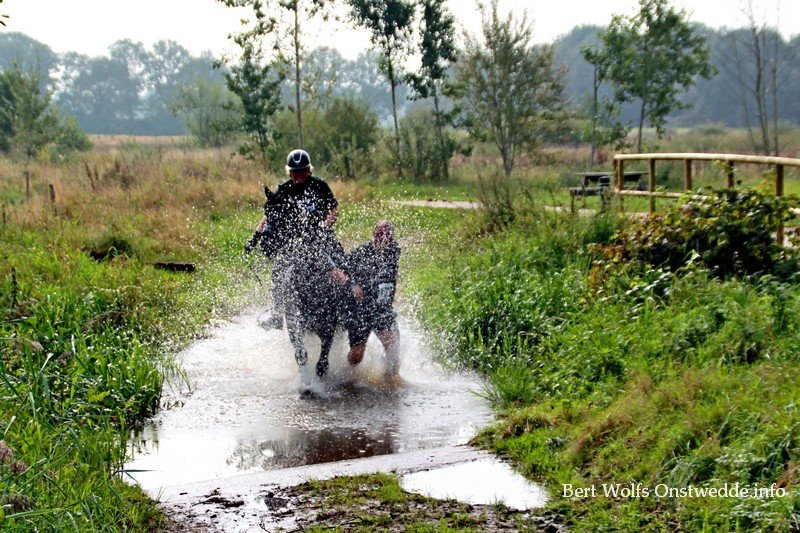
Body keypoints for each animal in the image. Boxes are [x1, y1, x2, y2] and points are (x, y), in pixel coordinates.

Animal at [246, 187, 349, 394]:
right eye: (266, 212)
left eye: (280, 212)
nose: (265, 244)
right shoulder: (295, 319)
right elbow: (300, 352)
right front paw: (305, 385)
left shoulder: (330, 321)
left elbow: (325, 352)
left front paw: (321, 376)